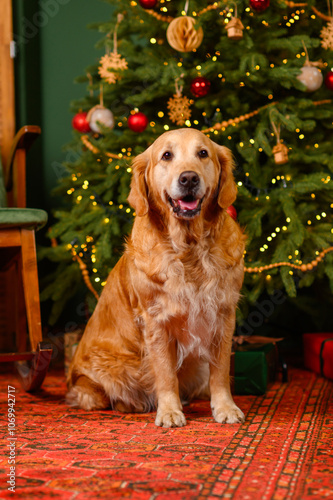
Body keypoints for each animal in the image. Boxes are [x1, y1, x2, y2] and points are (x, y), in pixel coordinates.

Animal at [67, 128, 244, 426]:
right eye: (166, 155)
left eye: (203, 153)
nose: (188, 178)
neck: (189, 249)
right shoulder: (156, 320)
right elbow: (165, 373)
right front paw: (170, 411)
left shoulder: (223, 313)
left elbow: (220, 371)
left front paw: (225, 407)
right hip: (111, 369)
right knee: (101, 396)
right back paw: (132, 404)